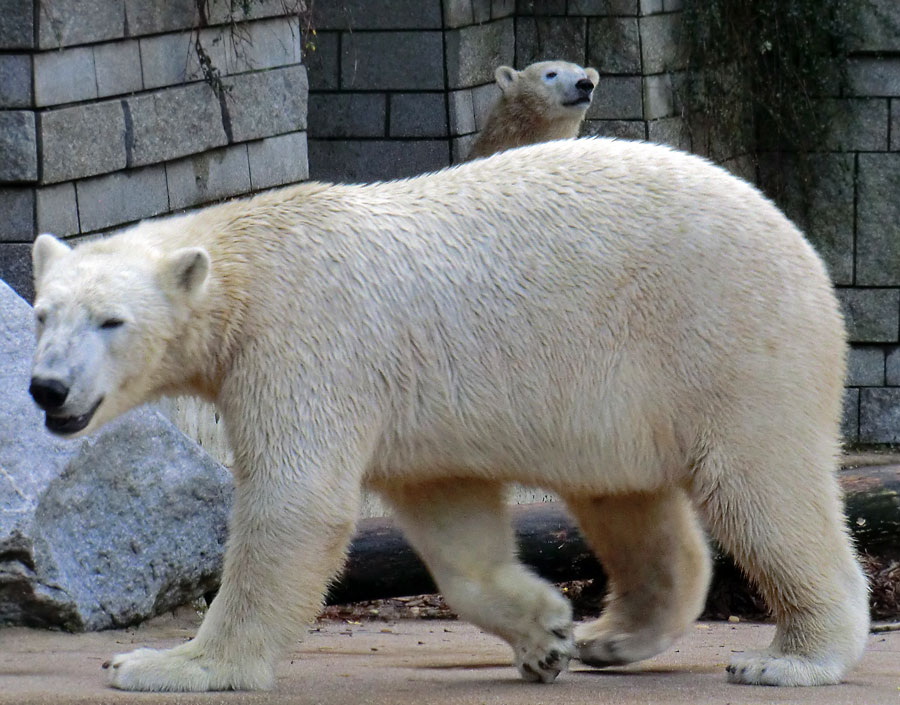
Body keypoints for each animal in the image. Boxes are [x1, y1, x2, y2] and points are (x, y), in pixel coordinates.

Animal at [31, 139, 868, 692]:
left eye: (110, 320)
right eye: (43, 313)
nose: (46, 387)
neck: (249, 257)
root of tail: (799, 243)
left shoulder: (304, 342)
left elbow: (297, 502)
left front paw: (166, 662)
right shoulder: (405, 405)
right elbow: (452, 518)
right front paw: (546, 632)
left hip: (724, 338)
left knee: (763, 488)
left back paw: (790, 655)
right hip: (628, 389)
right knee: (628, 502)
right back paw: (613, 635)